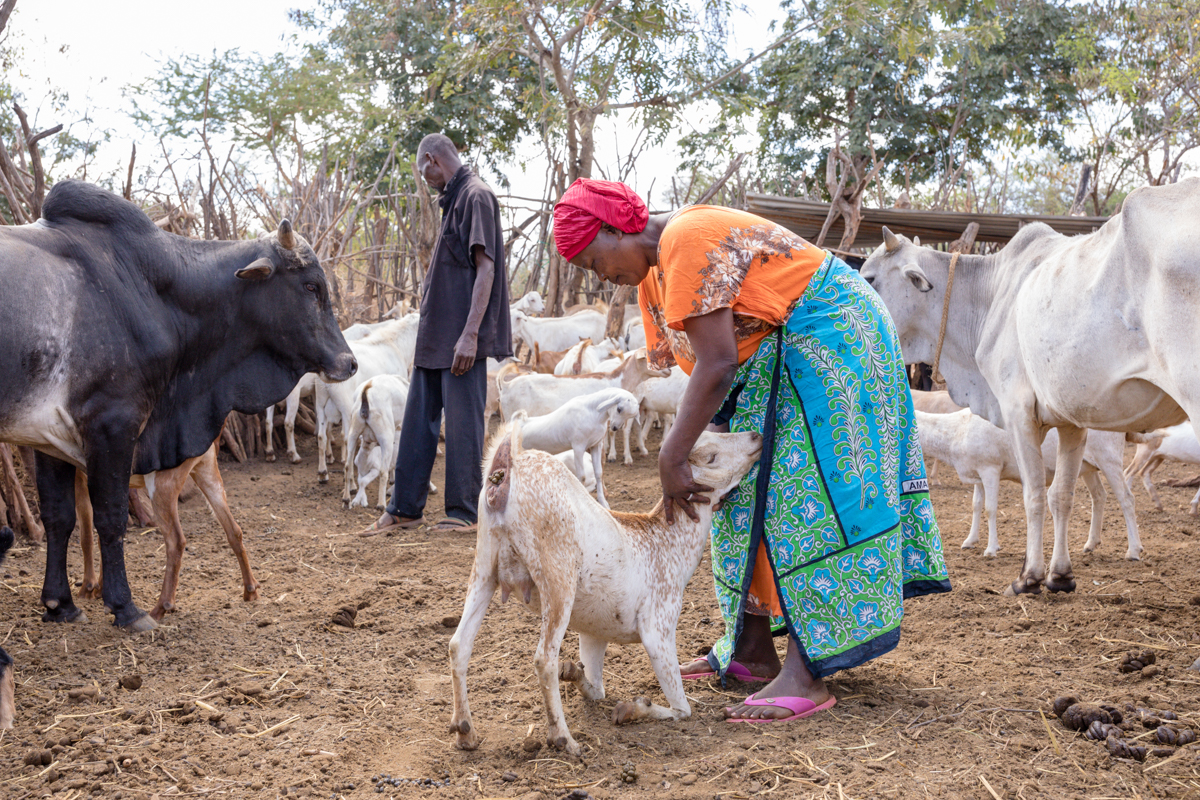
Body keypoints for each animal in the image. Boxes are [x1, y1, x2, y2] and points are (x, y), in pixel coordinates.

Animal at [1, 181, 355, 633]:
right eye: (311, 286)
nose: (349, 362)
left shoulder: (51, 440)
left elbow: (59, 518)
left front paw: (61, 604)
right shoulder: (111, 425)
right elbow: (108, 518)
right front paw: (122, 607)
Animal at [451, 424, 758, 758]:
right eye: (711, 457)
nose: (756, 436)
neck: (666, 541)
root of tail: (503, 473)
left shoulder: (593, 632)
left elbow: (597, 689)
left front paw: (575, 674)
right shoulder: (658, 626)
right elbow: (682, 710)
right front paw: (632, 709)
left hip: (484, 568)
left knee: (458, 644)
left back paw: (465, 732)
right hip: (558, 576)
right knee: (544, 658)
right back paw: (563, 738)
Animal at [506, 388, 638, 506]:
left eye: (630, 416)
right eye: (619, 408)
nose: (615, 427)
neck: (592, 412)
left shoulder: (596, 445)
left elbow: (599, 473)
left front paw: (604, 503)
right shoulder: (578, 447)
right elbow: (582, 476)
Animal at [916, 410, 1142, 561]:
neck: (955, 433)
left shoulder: (991, 468)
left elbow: (990, 509)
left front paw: (991, 549)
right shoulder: (978, 473)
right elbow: (976, 505)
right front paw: (969, 541)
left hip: (1109, 457)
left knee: (1127, 498)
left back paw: (1134, 550)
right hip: (1087, 465)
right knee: (1099, 496)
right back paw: (1090, 544)